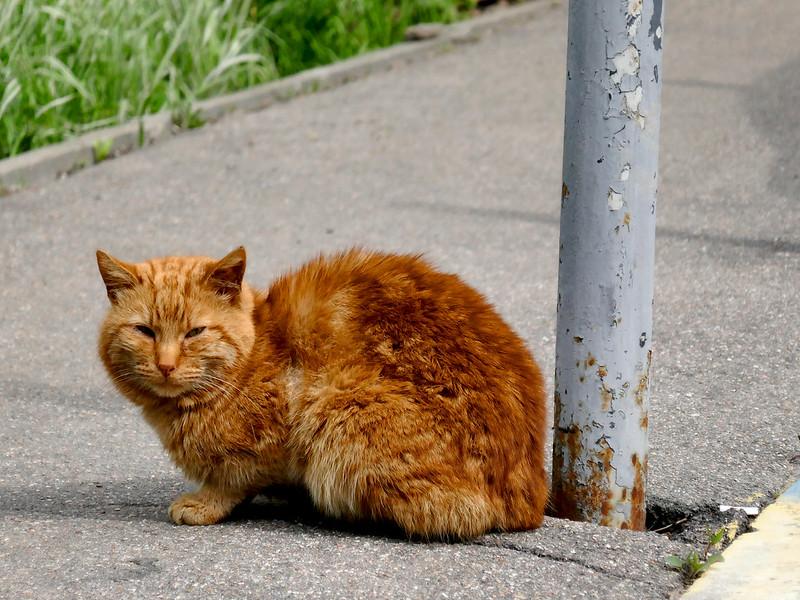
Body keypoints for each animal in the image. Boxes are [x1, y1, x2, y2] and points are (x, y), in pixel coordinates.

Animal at [95, 246, 552, 536]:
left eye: (194, 332)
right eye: (145, 331)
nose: (166, 364)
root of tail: (532, 495)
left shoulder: (276, 435)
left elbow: (235, 478)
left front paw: (205, 503)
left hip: (340, 414)